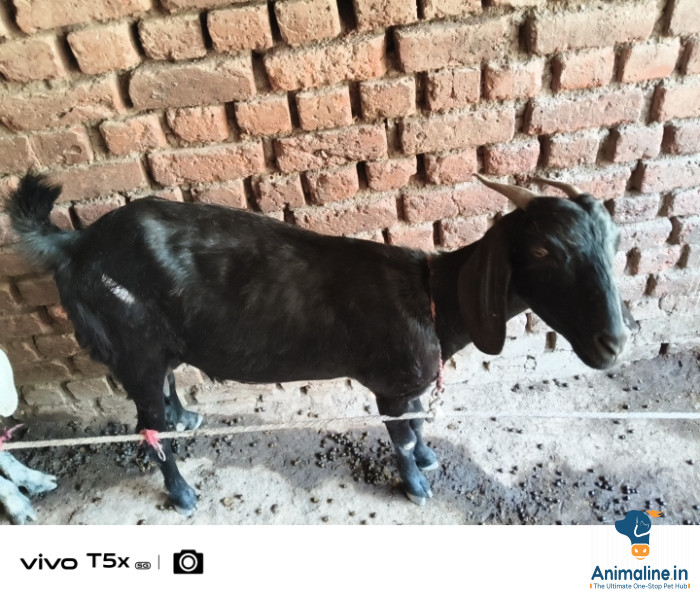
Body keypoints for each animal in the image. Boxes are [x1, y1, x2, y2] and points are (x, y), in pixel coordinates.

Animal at [6, 172, 634, 515]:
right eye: (543, 250)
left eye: (612, 239)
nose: (616, 341)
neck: (433, 299)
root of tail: (75, 245)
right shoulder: (388, 384)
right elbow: (402, 435)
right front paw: (417, 484)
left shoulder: (409, 384)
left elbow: (419, 421)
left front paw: (429, 457)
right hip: (131, 344)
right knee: (146, 425)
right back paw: (182, 493)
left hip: (154, 347)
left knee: (162, 390)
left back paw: (186, 418)